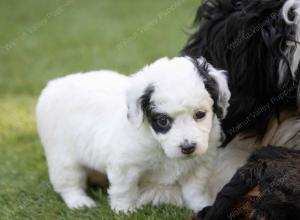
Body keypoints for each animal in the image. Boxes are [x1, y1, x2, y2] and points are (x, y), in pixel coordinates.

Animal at [36, 56, 231, 213]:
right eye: (162, 121)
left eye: (200, 114)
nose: (188, 147)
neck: (158, 144)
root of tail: (54, 84)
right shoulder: (125, 166)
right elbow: (125, 189)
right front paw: (124, 209)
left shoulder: (199, 165)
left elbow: (195, 189)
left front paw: (202, 206)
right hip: (62, 157)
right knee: (69, 183)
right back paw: (80, 202)